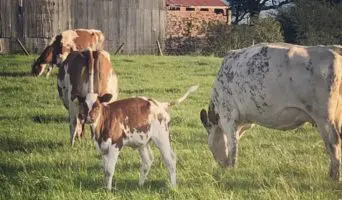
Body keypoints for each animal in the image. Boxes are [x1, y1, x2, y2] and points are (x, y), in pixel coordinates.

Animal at [200, 42, 342, 181]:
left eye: (209, 145)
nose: (221, 165)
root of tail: (332, 48)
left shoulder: (227, 116)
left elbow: (233, 145)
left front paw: (231, 169)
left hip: (324, 117)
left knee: (333, 143)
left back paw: (334, 177)